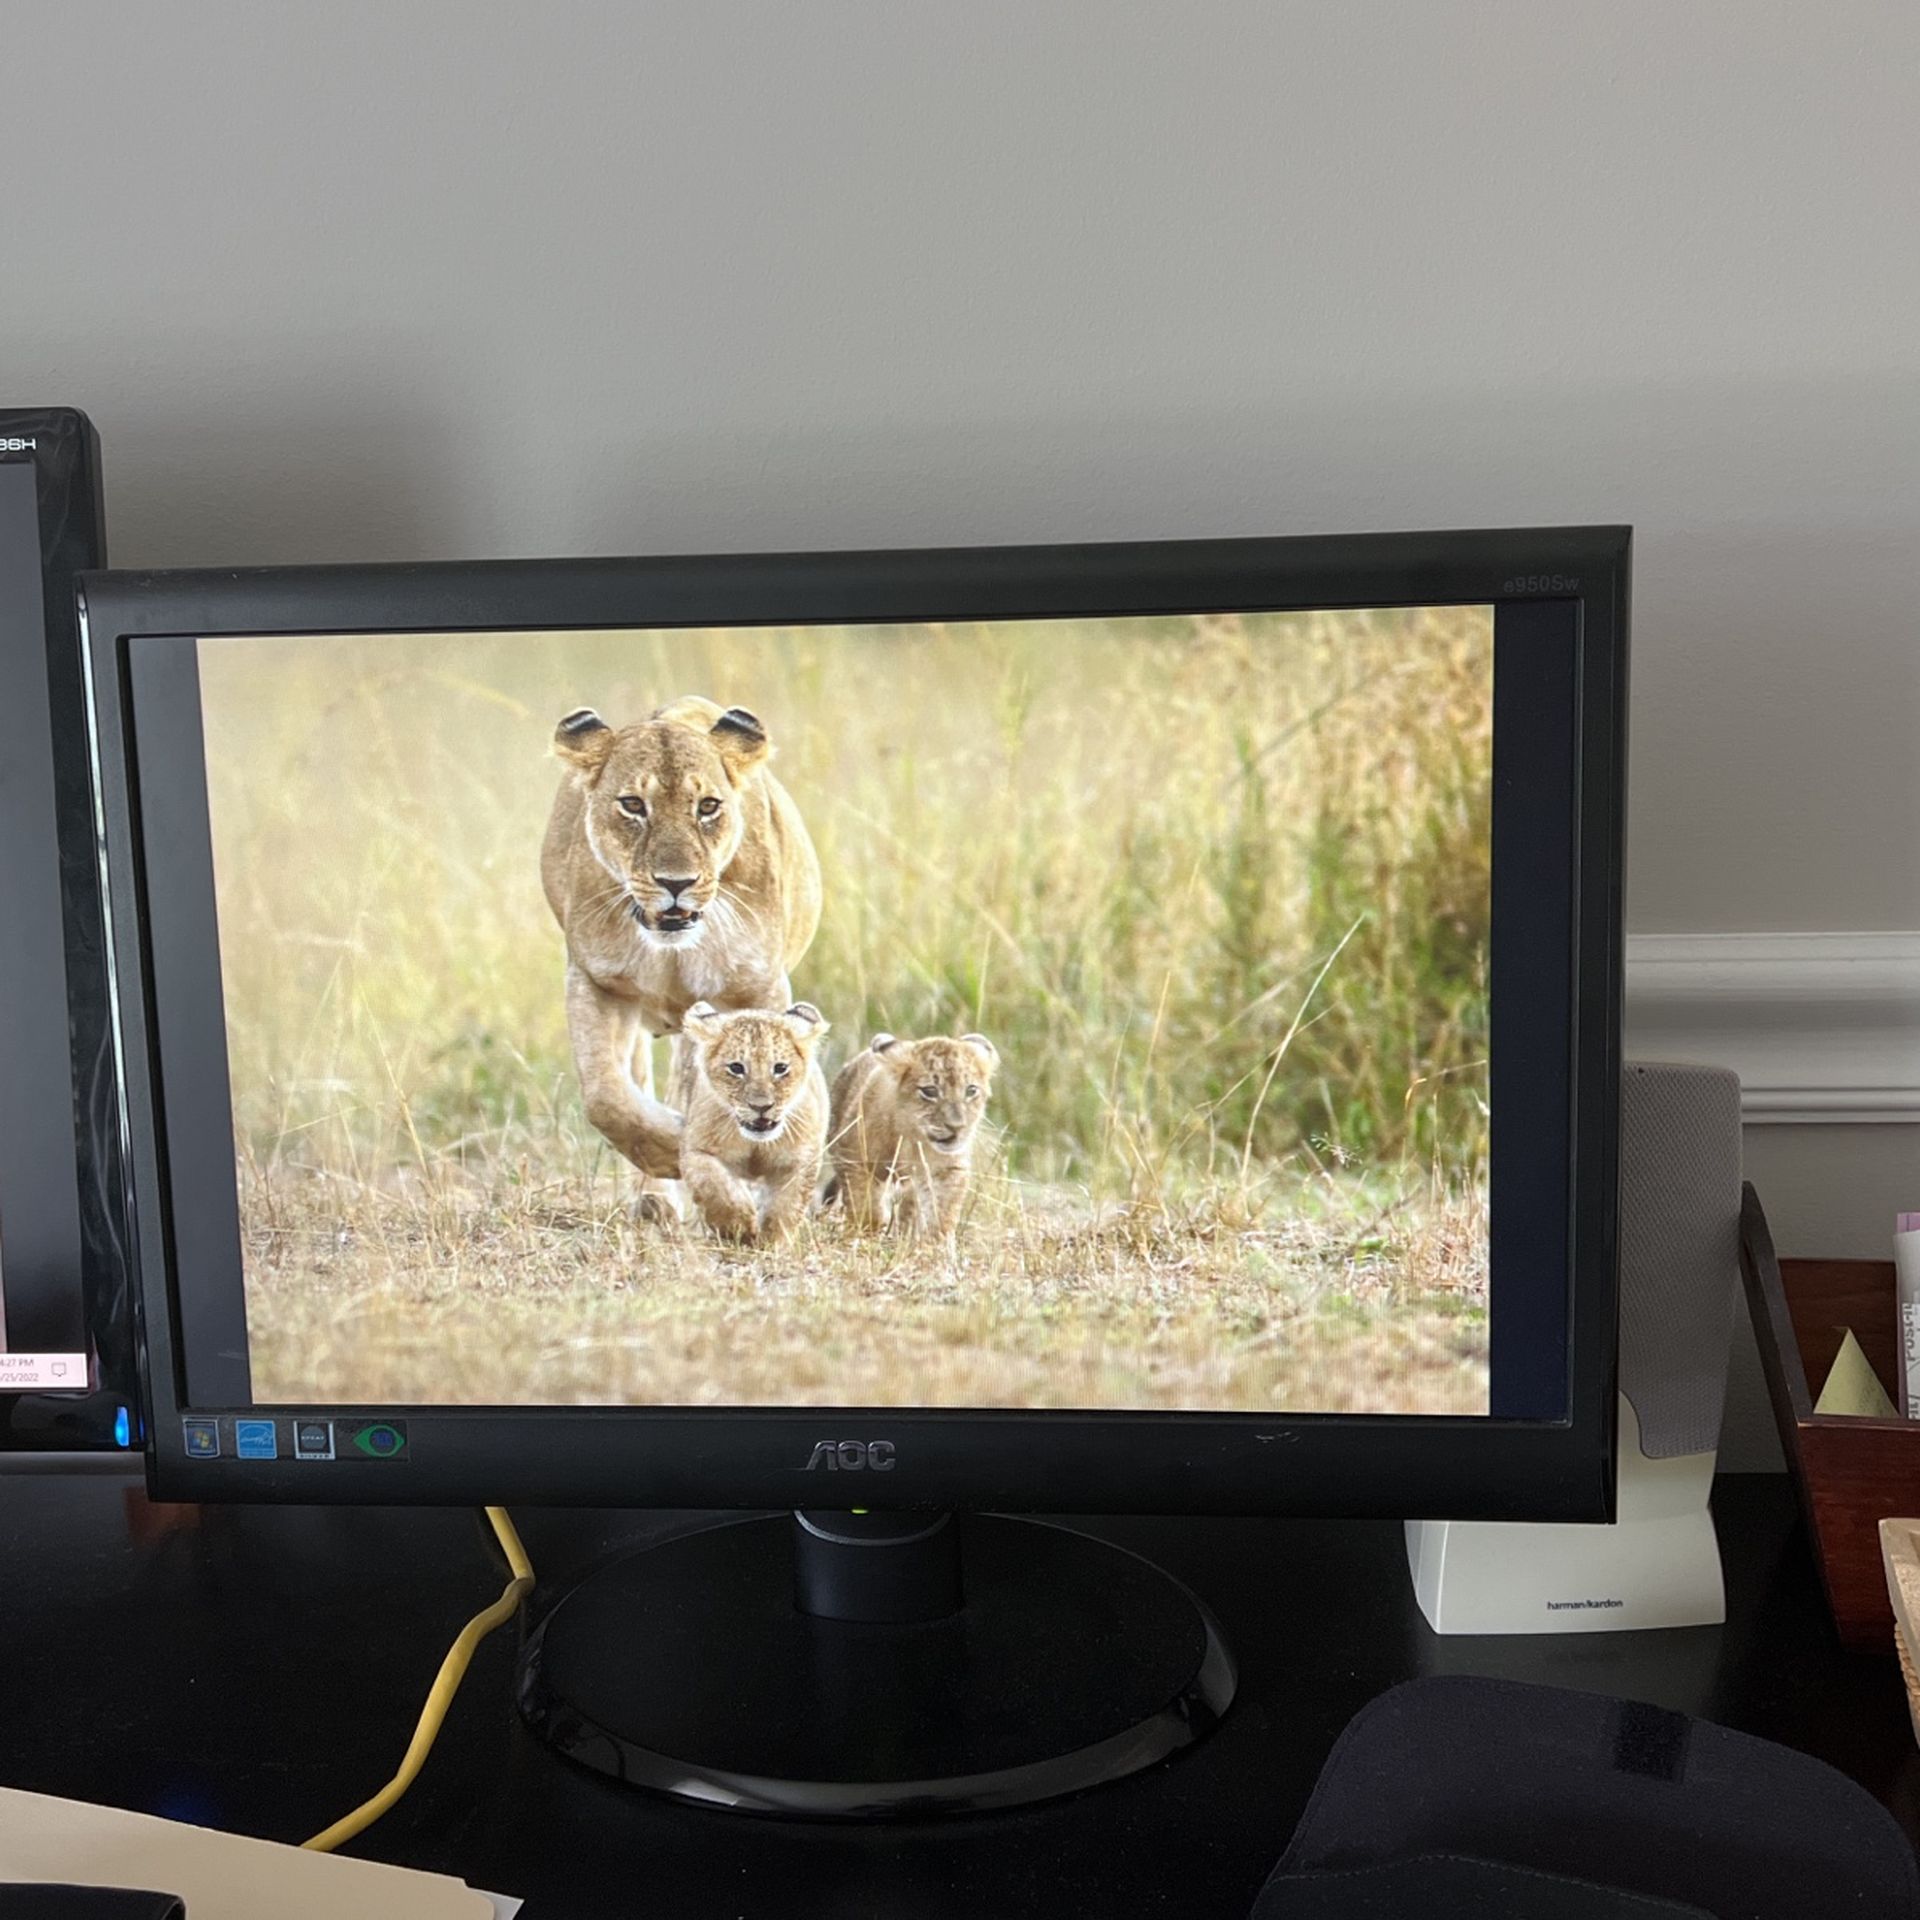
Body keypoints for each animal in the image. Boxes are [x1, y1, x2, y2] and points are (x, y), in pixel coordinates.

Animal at [542, 696, 822, 1186]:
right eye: (633, 804)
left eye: (707, 806)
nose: (677, 883)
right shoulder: (596, 981)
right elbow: (605, 1096)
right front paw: (671, 1154)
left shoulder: (755, 988)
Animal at [679, 1000, 832, 1243]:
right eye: (736, 1068)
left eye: (780, 1068)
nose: (761, 1107)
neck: (756, 1143)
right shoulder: (696, 1151)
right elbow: (716, 1187)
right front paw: (740, 1227)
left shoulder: (800, 1159)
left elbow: (786, 1207)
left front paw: (772, 1242)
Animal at [827, 1032, 997, 1237]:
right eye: (930, 1091)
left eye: (971, 1090)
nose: (957, 1126)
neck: (915, 1140)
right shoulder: (854, 1158)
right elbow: (865, 1205)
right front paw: (866, 1234)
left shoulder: (948, 1170)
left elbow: (941, 1215)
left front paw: (935, 1243)